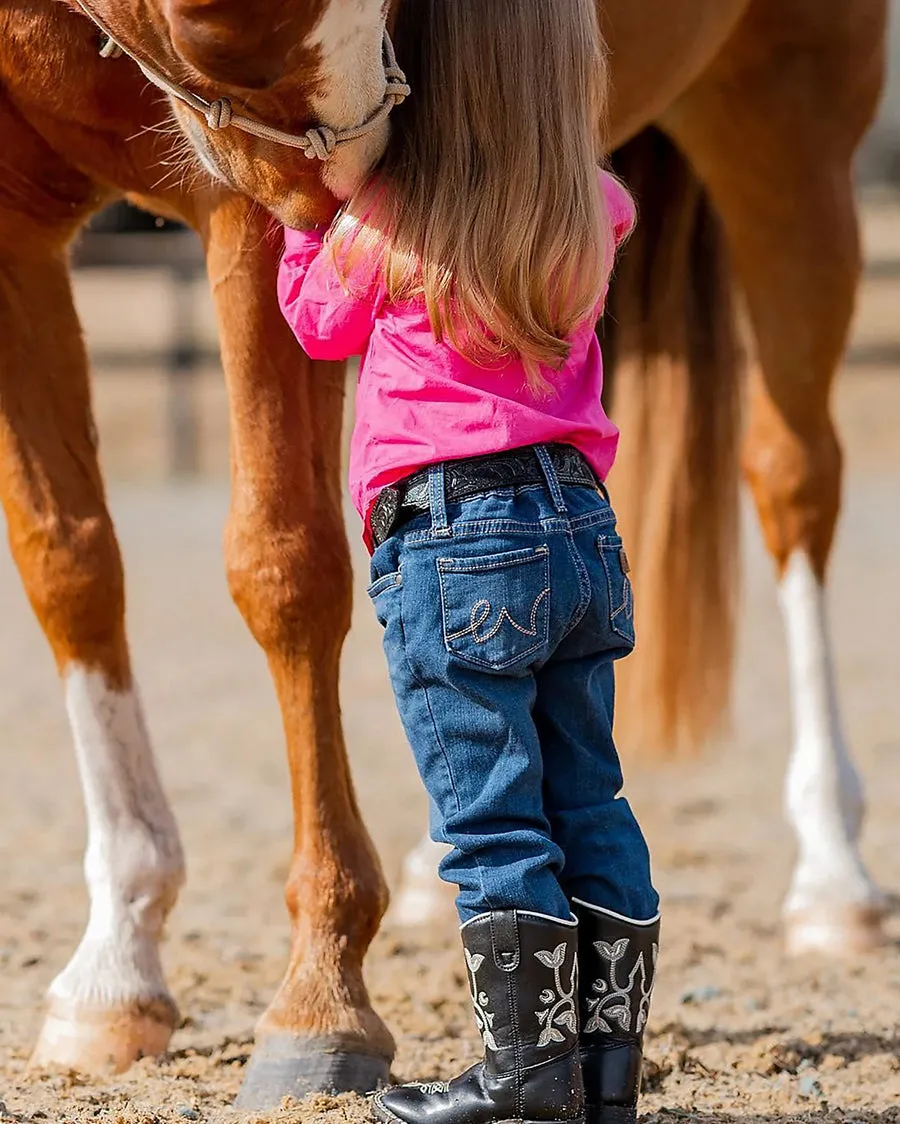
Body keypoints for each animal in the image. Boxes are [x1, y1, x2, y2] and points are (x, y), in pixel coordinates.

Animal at [0, 0, 885, 1110]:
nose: (357, 187)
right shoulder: (13, 230)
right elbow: (67, 565)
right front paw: (116, 966)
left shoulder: (243, 218)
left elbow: (282, 566)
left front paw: (321, 996)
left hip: (790, 117)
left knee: (793, 481)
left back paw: (835, 876)